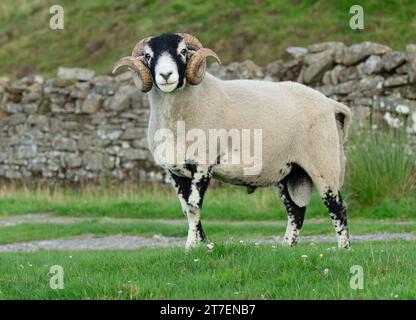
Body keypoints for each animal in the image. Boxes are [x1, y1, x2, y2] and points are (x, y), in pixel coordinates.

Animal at [113, 33, 352, 250]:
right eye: (148, 55)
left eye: (183, 51)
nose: (165, 75)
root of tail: (330, 104)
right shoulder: (174, 171)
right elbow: (186, 209)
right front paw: (201, 244)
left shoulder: (203, 164)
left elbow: (194, 207)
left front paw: (191, 246)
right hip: (288, 171)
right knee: (296, 211)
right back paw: (287, 247)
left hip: (324, 163)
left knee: (336, 206)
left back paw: (343, 248)